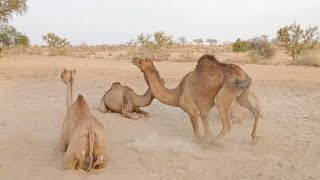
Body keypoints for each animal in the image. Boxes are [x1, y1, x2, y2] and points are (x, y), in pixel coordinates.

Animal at [132, 54, 262, 144]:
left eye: (140, 60)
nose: (133, 59)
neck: (177, 94)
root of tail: (245, 75)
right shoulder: (203, 111)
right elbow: (206, 130)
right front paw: (208, 137)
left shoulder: (192, 110)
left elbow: (197, 137)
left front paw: (202, 144)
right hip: (242, 95)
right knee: (255, 111)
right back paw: (254, 138)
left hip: (226, 91)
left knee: (227, 124)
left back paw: (212, 145)